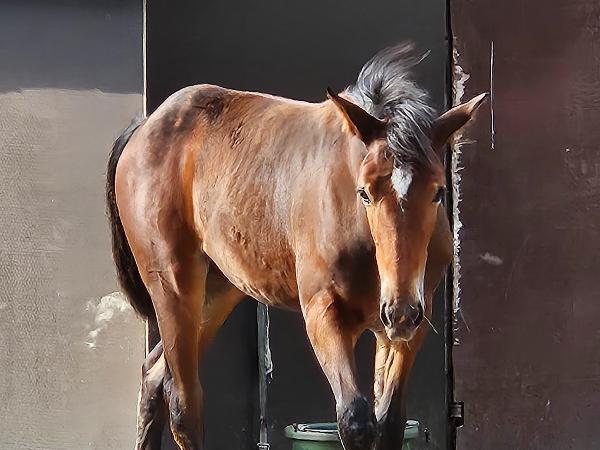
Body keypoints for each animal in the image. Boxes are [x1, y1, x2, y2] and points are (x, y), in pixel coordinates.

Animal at [105, 43, 486, 450]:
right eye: (365, 192)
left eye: (439, 192)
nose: (400, 309)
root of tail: (147, 126)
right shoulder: (324, 312)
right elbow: (354, 420)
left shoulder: (405, 330)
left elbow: (389, 425)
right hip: (173, 286)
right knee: (183, 402)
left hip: (218, 291)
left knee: (154, 377)